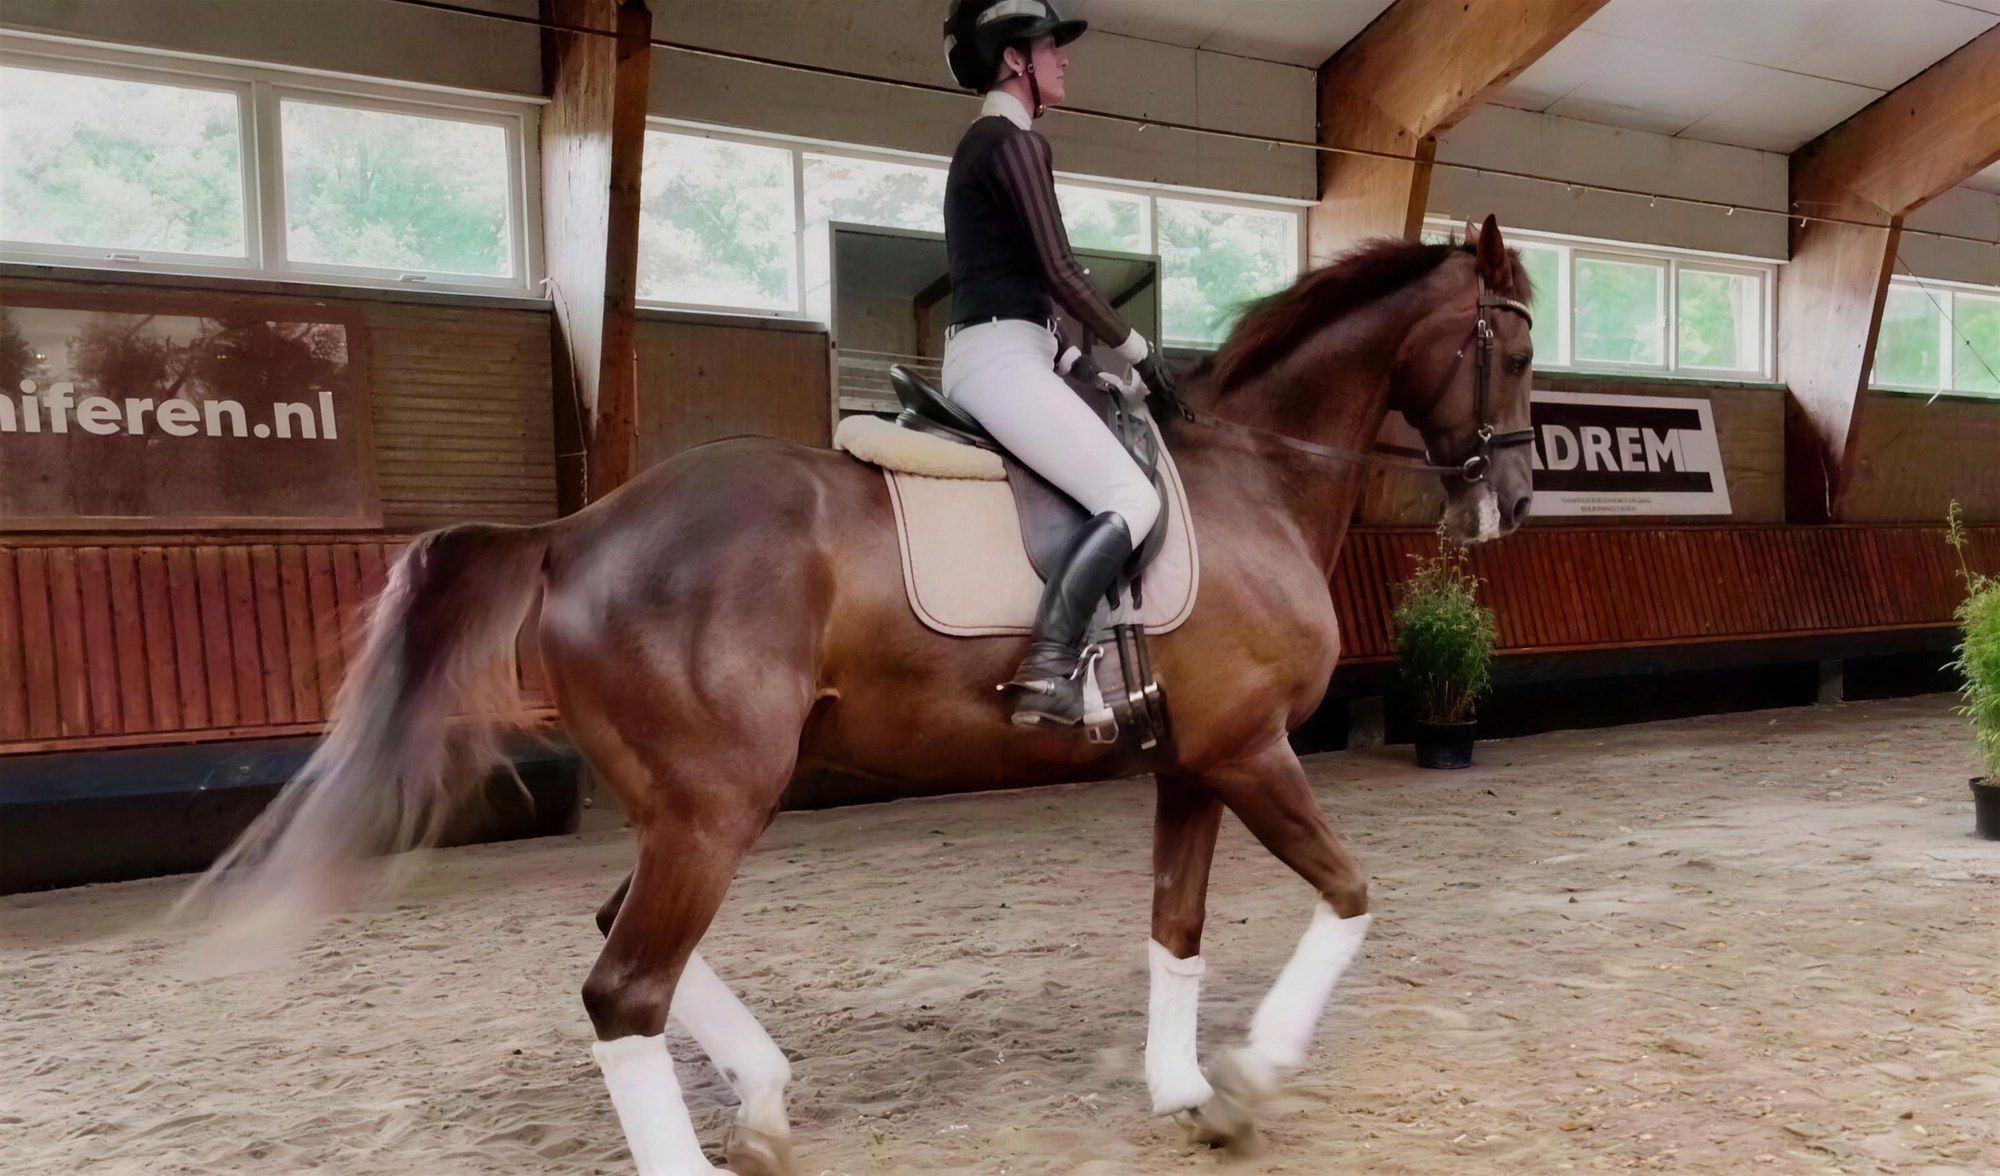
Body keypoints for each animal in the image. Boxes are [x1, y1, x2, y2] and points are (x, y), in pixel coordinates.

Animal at [185, 215, 1537, 1174]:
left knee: (626, 941)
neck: (1251, 477)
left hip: (699, 803)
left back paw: (766, 1100)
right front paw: (1254, 1079)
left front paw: (1184, 1094)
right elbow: (1350, 898)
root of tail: (576, 530)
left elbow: (1176, 931)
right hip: (716, 806)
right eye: (1515, 351)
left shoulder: (1192, 763)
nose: (1511, 502)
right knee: (623, 987)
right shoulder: (1252, 751)